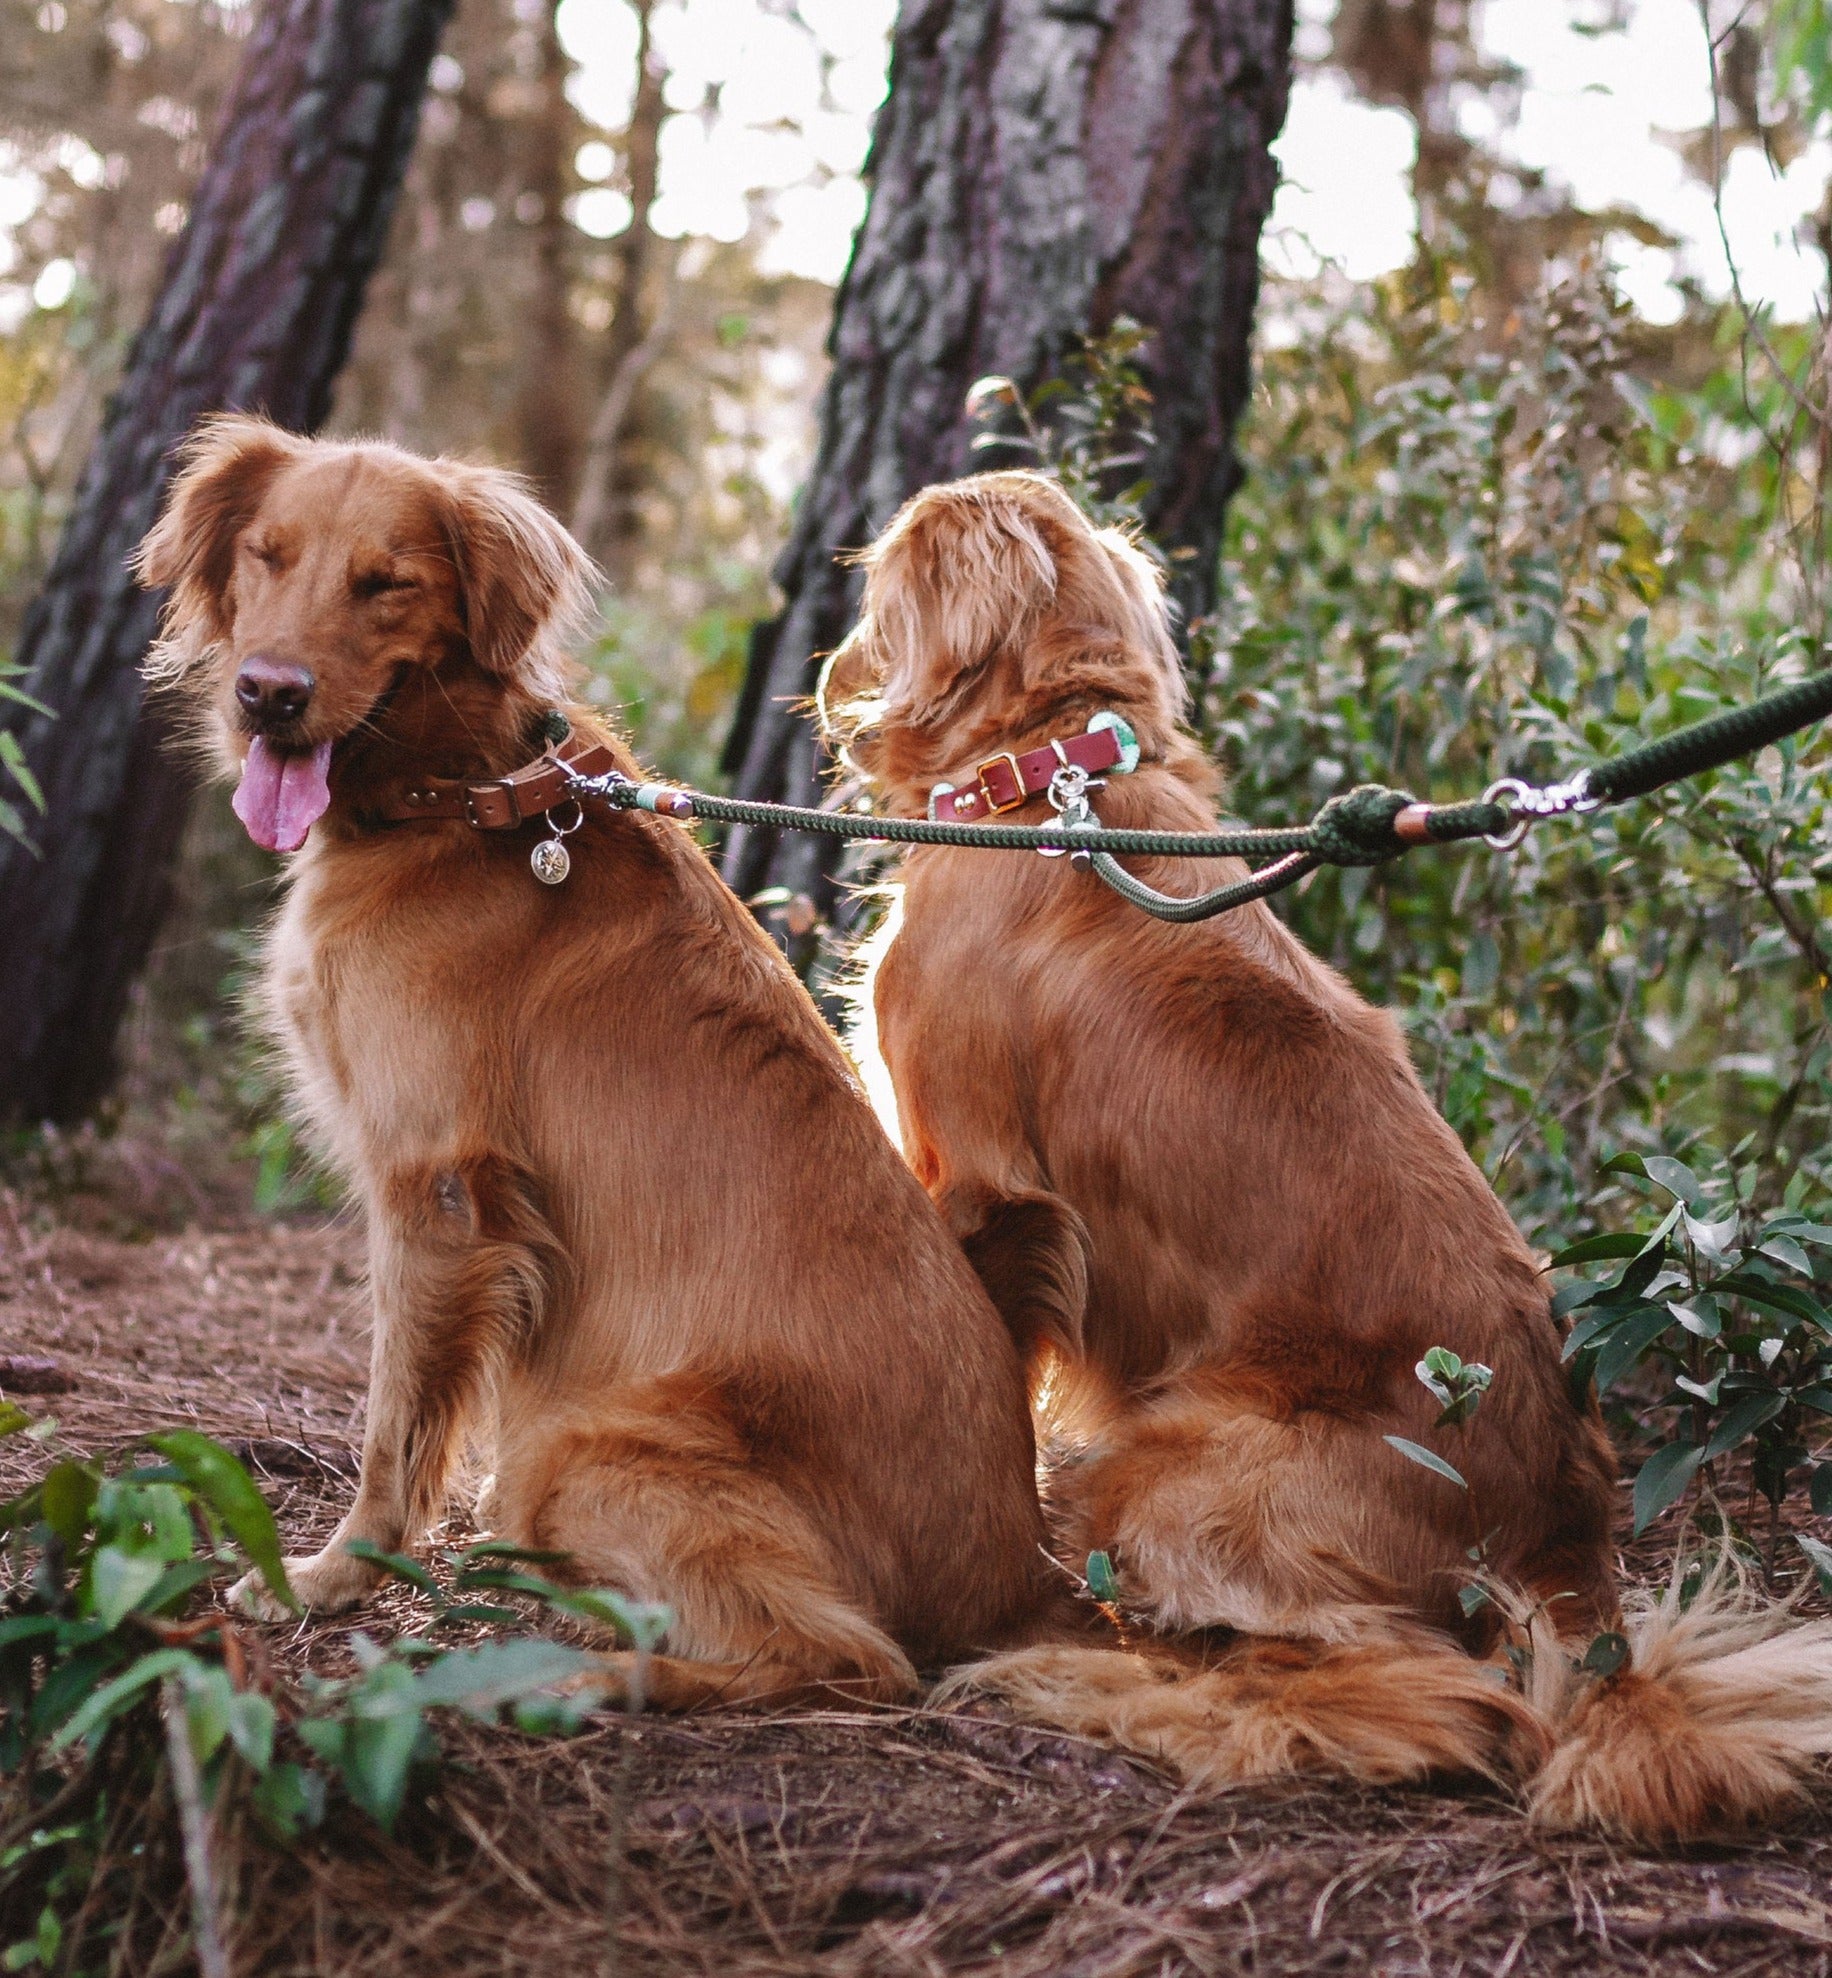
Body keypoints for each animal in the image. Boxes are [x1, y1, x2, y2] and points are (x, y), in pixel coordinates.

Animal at [136, 421, 1068, 1716]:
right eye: (267, 556)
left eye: (385, 584)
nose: (267, 694)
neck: (462, 796)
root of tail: (1019, 1575)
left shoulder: (437, 1189)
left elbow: (395, 1424)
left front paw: (333, 1574)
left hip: (578, 1444)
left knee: (848, 1656)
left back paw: (570, 1674)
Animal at [823, 466, 1832, 1835]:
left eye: (876, 576)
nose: (835, 665)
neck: (1047, 781)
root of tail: (1571, 1549)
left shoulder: (980, 1190)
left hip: (1164, 1469)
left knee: (1400, 1684)